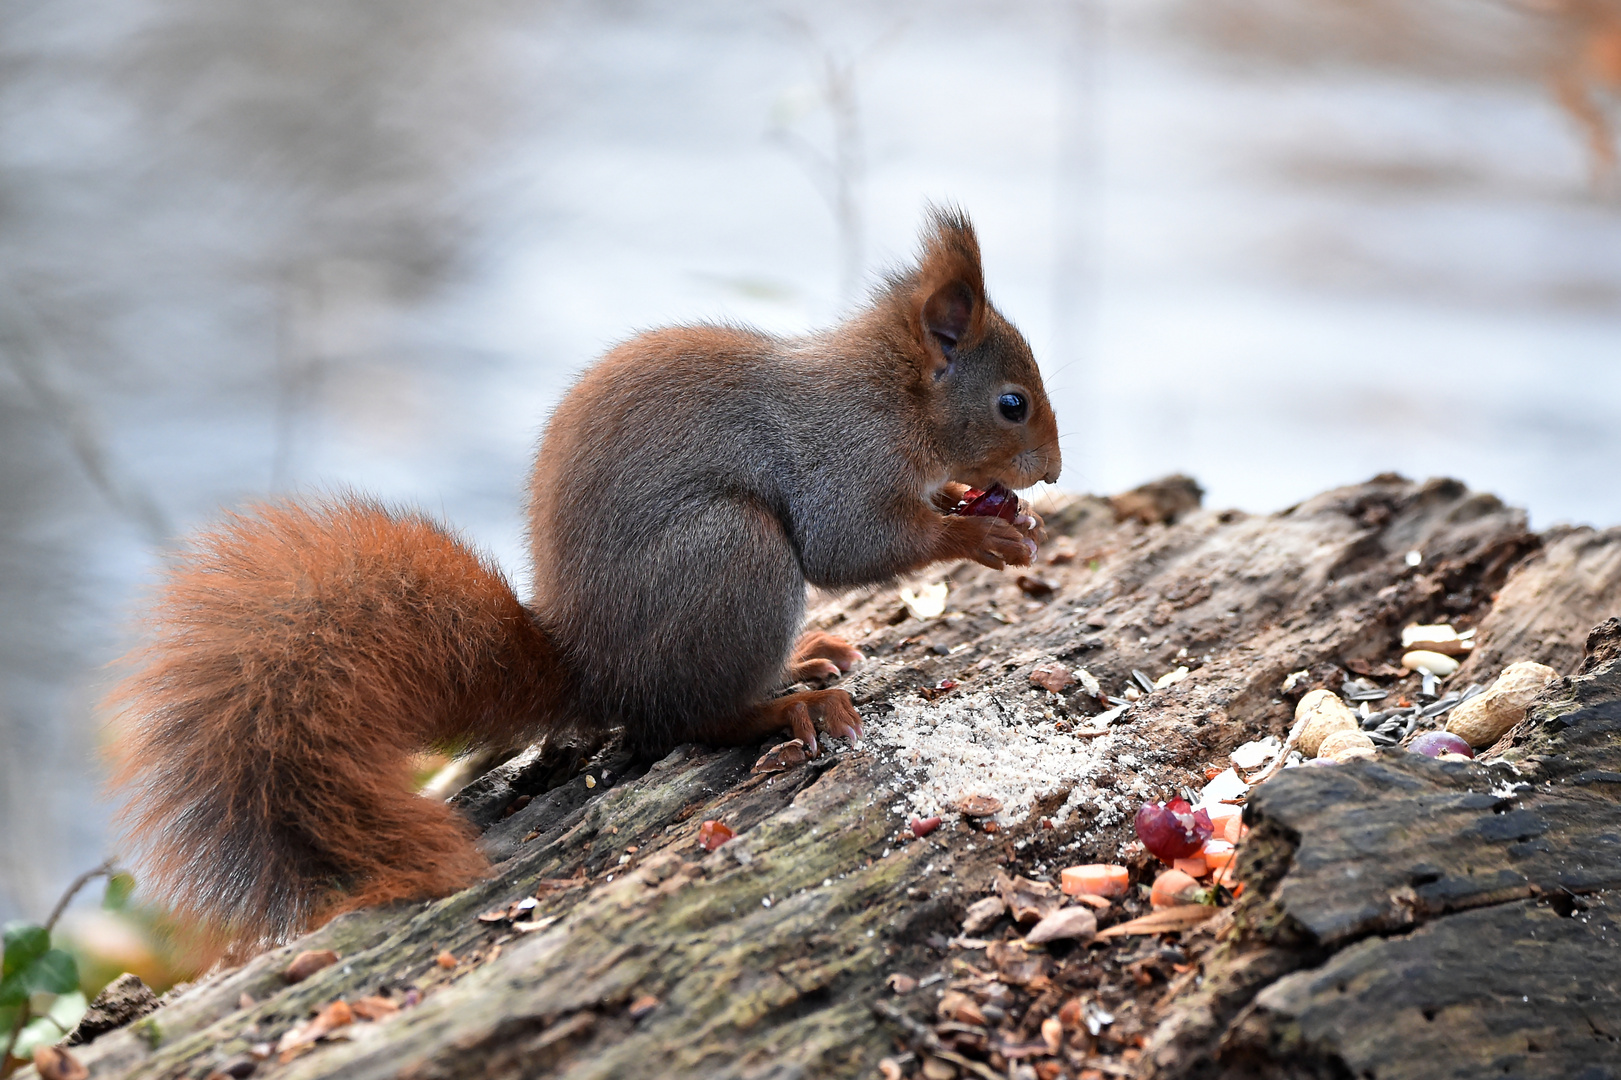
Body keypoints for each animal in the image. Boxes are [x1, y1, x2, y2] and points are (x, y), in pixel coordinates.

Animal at [107, 205, 1056, 947]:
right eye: (1010, 404)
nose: (1050, 471)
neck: (890, 396)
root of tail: (596, 671)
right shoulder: (839, 461)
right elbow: (850, 544)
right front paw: (981, 536)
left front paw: (987, 509)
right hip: (734, 557)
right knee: (689, 718)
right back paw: (786, 707)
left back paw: (807, 656)